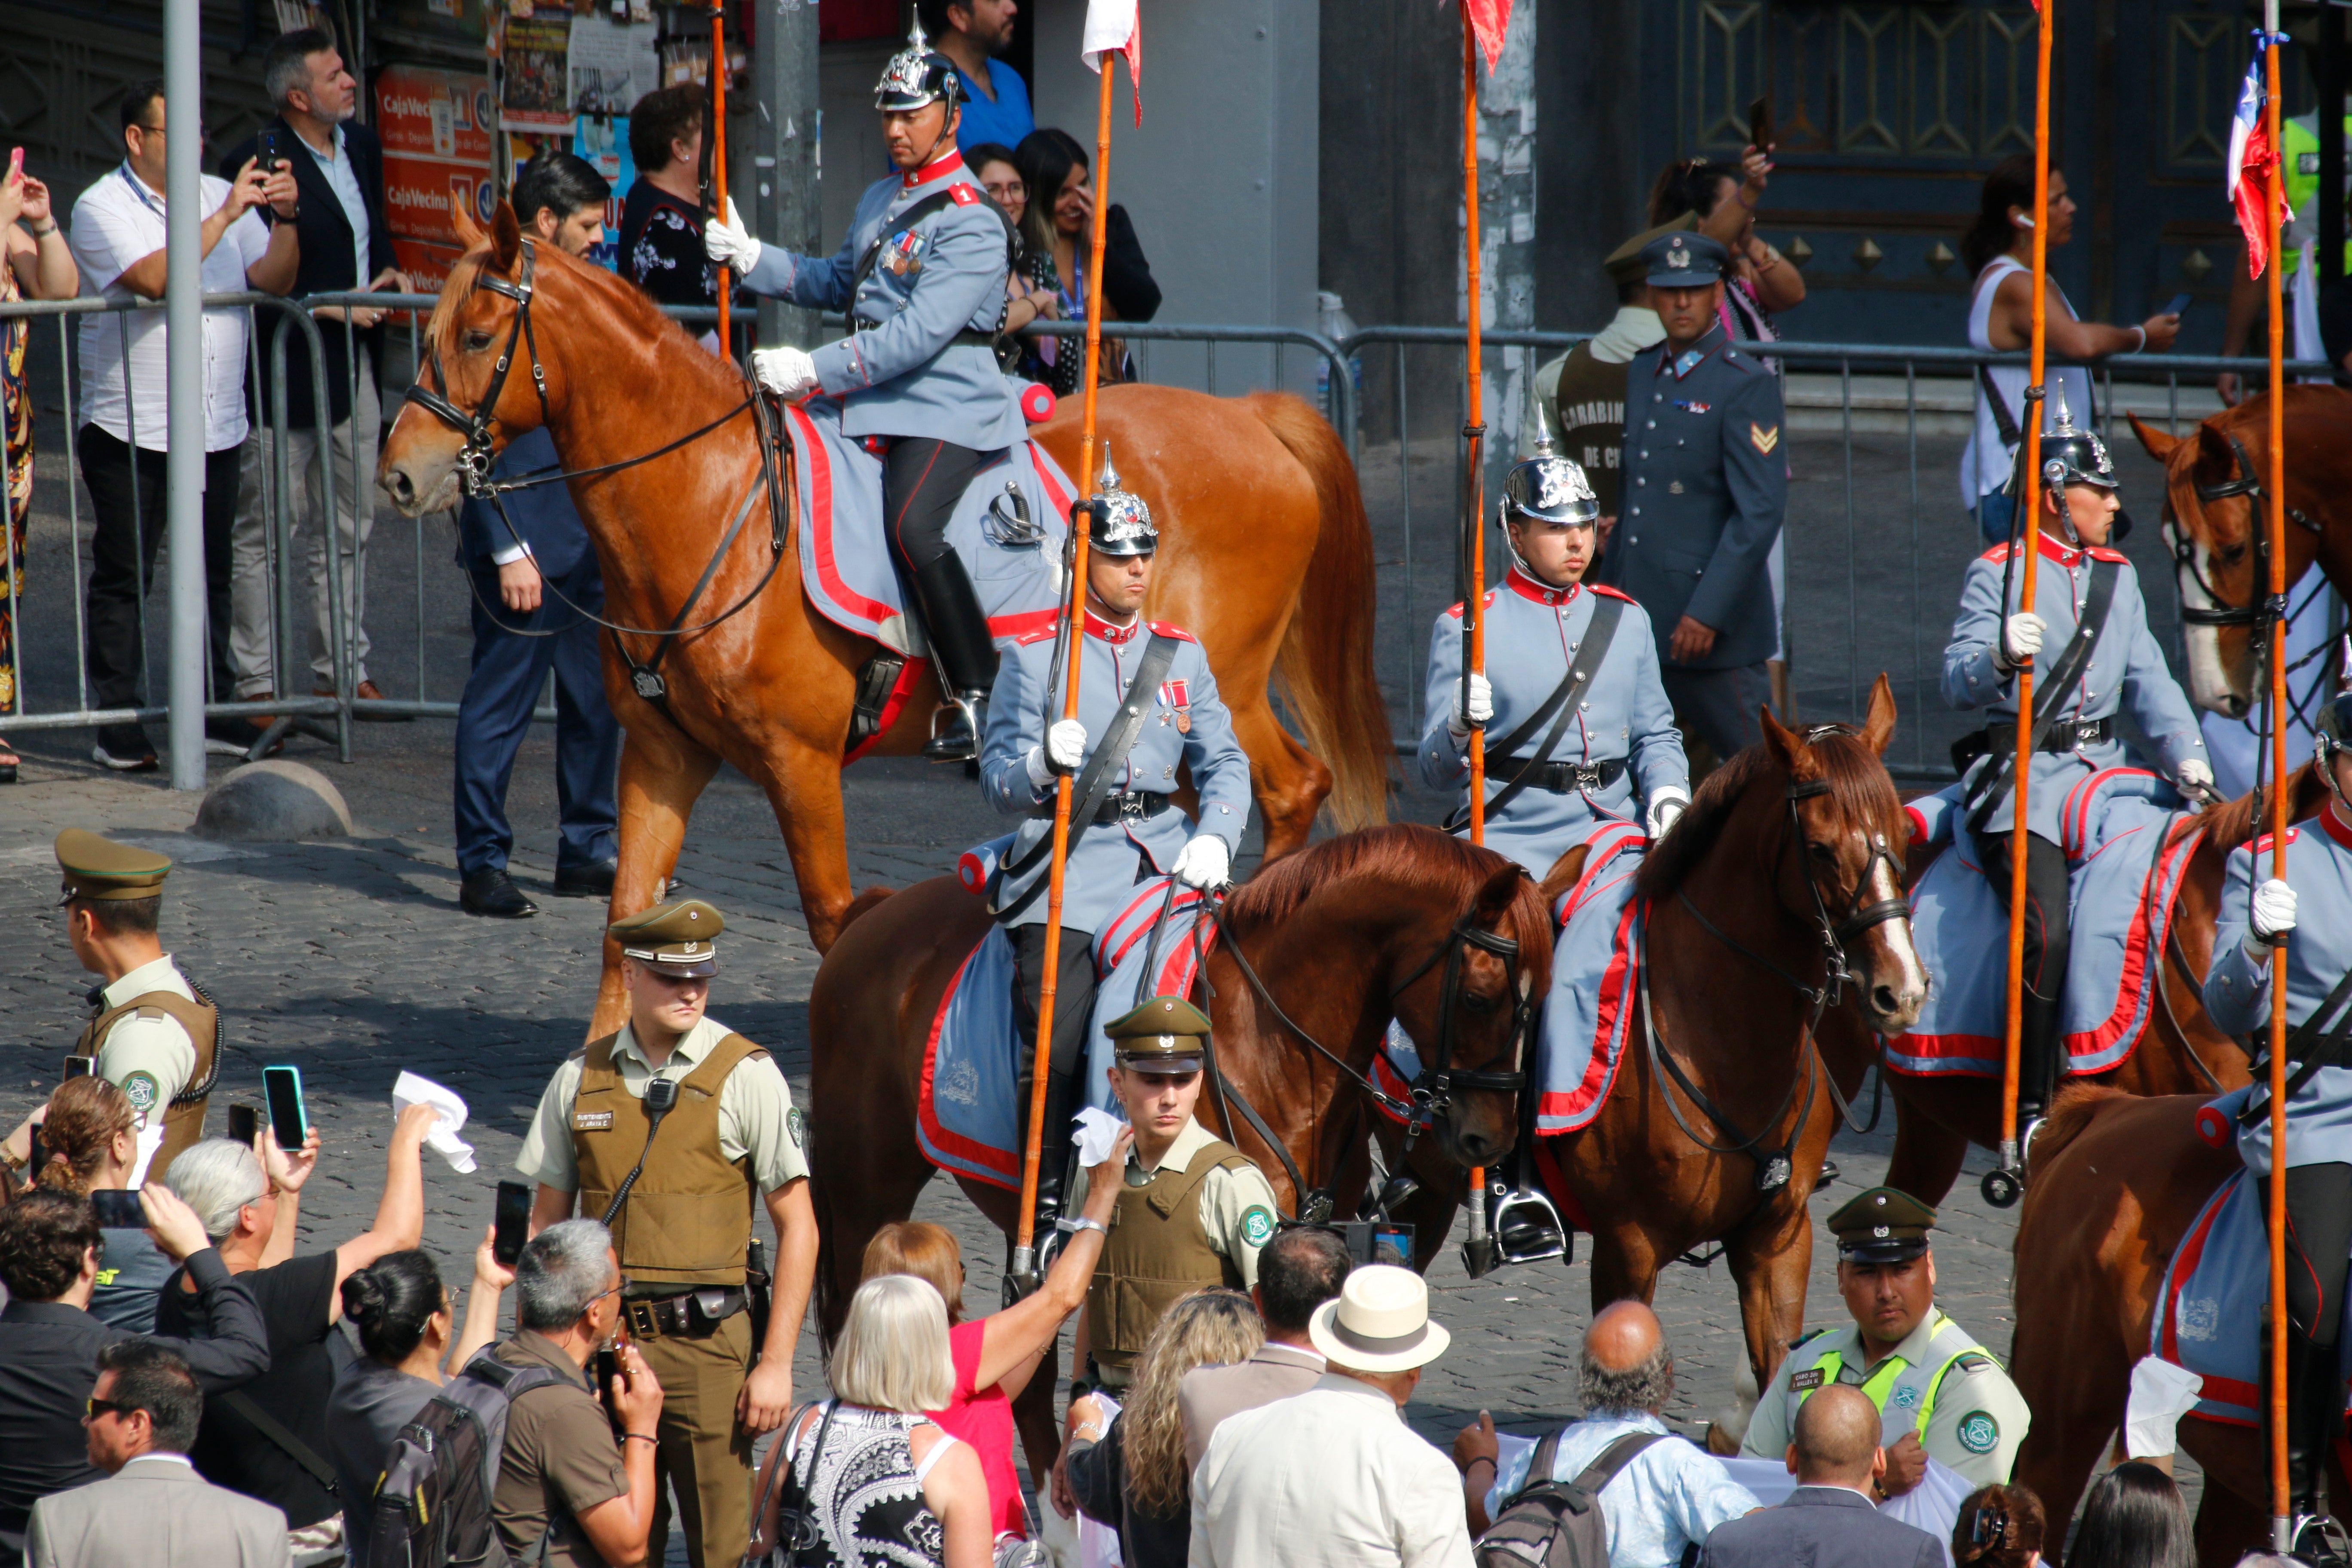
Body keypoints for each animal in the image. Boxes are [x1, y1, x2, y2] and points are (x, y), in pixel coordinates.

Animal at [376, 208, 1383, 1034]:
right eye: (431, 332)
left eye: (476, 335)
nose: (399, 476)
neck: (713, 504)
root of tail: (1251, 414)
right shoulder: (662, 756)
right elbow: (628, 925)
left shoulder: (802, 766)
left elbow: (835, 922)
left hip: (1218, 684)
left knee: (1290, 788)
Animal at [799, 823, 1552, 1485]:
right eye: (1481, 996)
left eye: (1537, 1006)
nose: (1489, 1139)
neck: (1271, 1041)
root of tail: (876, 912)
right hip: (868, 1189)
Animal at [1373, 682, 1929, 1391]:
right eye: (1822, 849)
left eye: (1904, 837)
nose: (1900, 989)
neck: (1722, 1040)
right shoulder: (1627, 1248)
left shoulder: (1779, 1239)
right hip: (1422, 1190)